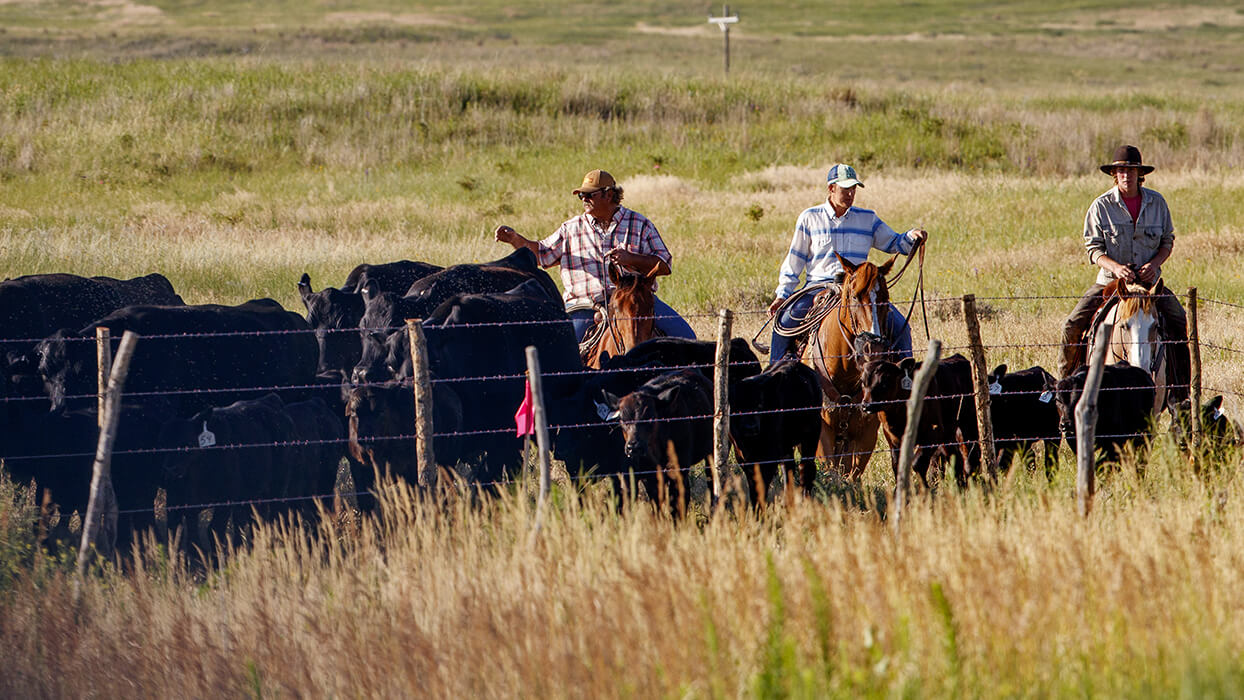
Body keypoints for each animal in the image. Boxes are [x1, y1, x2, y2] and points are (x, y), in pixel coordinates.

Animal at [599, 370, 711, 517]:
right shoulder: (647, 475)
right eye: (622, 419)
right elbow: (657, 504)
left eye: (651, 417)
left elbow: (676, 506)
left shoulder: (677, 469)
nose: (633, 447)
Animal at [726, 360, 826, 509]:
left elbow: (762, 485)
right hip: (787, 444)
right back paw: (787, 502)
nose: (750, 428)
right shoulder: (743, 456)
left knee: (806, 467)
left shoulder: (770, 456)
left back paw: (805, 501)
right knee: (789, 467)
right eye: (737, 406)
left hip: (812, 432)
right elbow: (754, 486)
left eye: (760, 404)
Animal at [801, 254, 900, 479]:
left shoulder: (866, 432)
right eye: (854, 297)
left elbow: (852, 476)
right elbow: (831, 472)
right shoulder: (823, 432)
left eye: (885, 297)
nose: (874, 347)